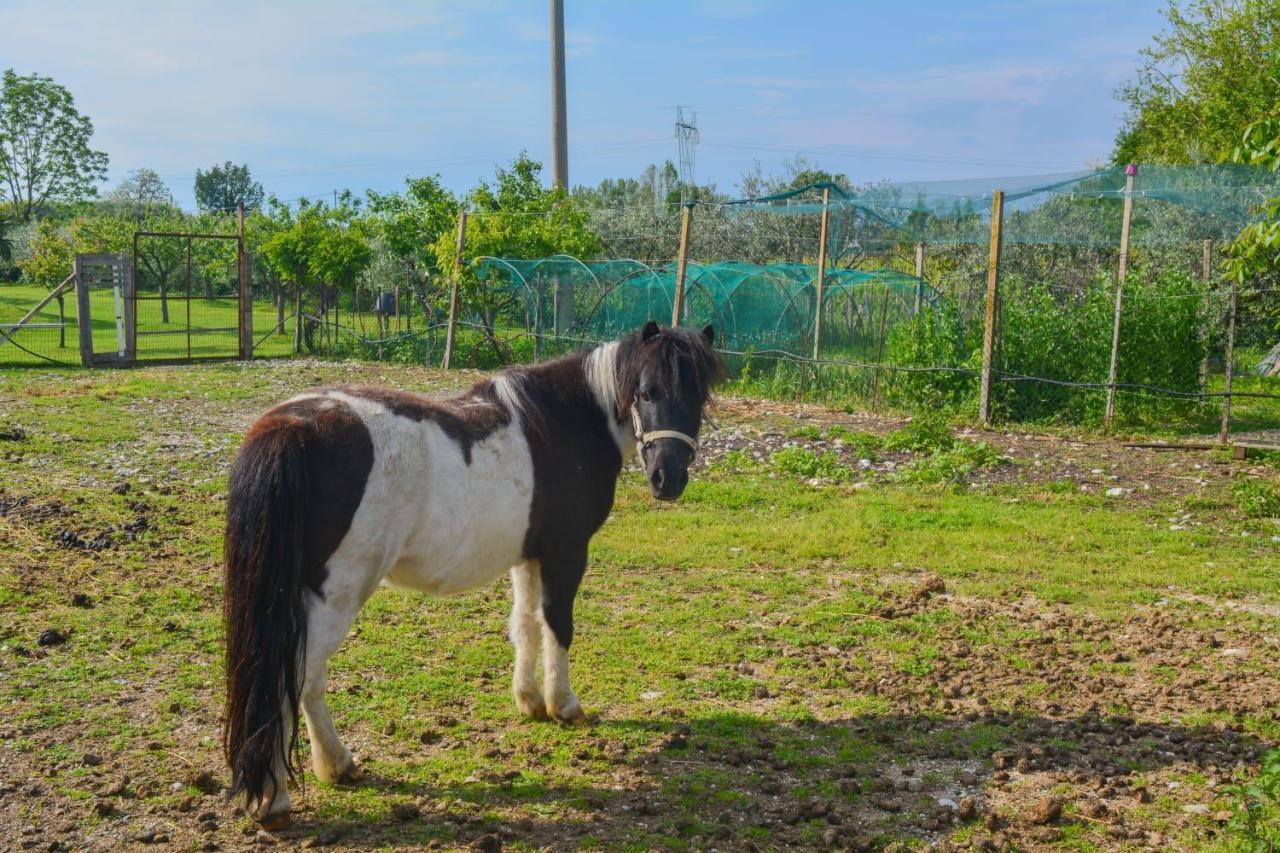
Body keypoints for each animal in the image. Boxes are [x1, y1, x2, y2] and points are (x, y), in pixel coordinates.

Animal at [220, 318, 721, 824]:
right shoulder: (566, 552)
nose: (668, 479)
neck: (569, 423)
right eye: (646, 392)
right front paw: (564, 705)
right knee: (294, 679)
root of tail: (290, 426)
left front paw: (530, 700)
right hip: (336, 593)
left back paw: (335, 764)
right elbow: (558, 625)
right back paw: (277, 796)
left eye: (698, 396)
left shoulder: (529, 555)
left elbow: (525, 624)